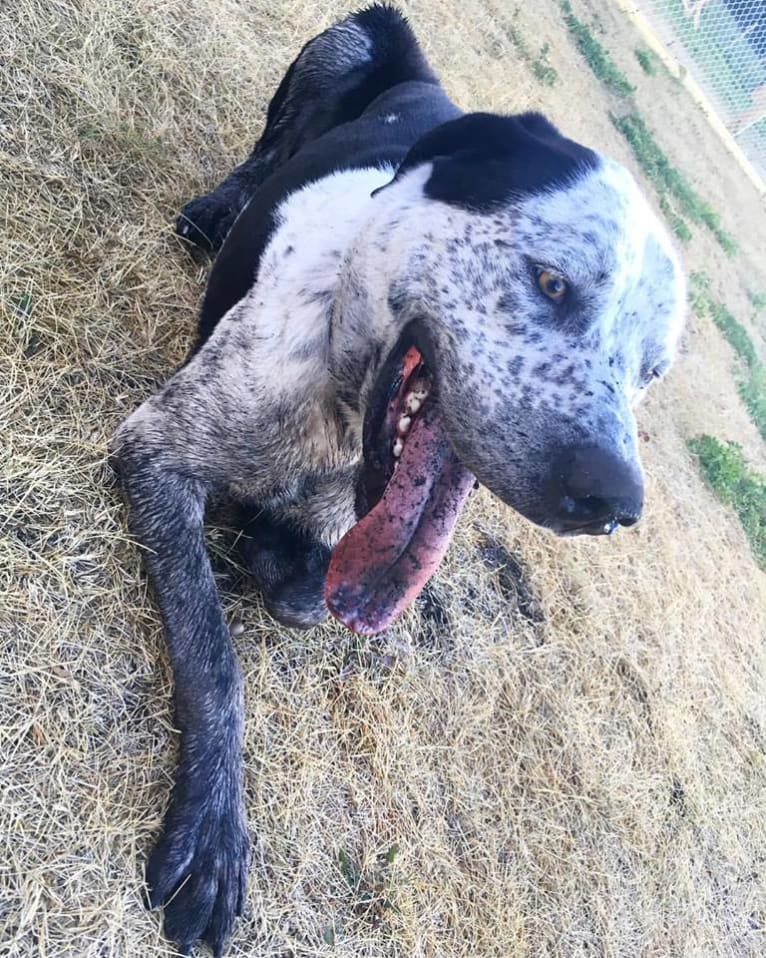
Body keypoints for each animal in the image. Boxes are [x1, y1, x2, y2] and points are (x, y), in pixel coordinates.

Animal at [114, 5, 688, 952]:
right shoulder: (154, 452)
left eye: (650, 371)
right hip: (347, 42)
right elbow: (215, 658)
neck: (344, 401)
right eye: (551, 281)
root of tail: (432, 85)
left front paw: (275, 550)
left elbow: (304, 590)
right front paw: (214, 831)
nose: (615, 502)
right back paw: (218, 206)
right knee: (266, 148)